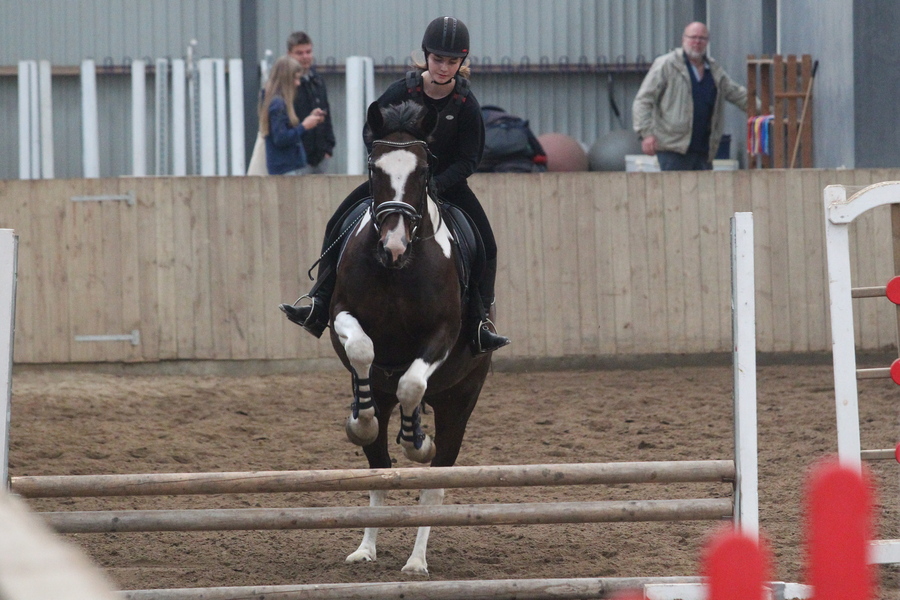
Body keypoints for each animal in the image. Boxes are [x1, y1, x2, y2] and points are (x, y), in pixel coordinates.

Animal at [326, 101, 492, 576]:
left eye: (424, 171)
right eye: (373, 168)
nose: (393, 246)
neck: (398, 271)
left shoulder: (444, 333)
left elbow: (413, 383)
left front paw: (417, 441)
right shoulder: (341, 312)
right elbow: (363, 349)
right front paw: (361, 420)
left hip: (460, 401)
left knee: (433, 480)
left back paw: (417, 560)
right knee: (379, 465)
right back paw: (366, 548)